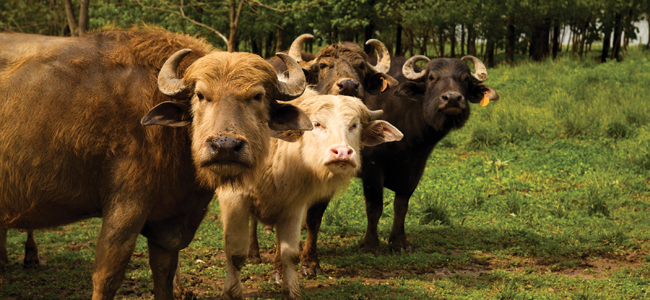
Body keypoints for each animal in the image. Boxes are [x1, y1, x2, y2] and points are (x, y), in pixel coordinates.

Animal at [0, 28, 310, 300]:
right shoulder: (126, 205)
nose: (225, 146)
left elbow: (163, 275)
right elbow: (107, 276)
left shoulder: (167, 225)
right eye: (200, 95)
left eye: (257, 96)